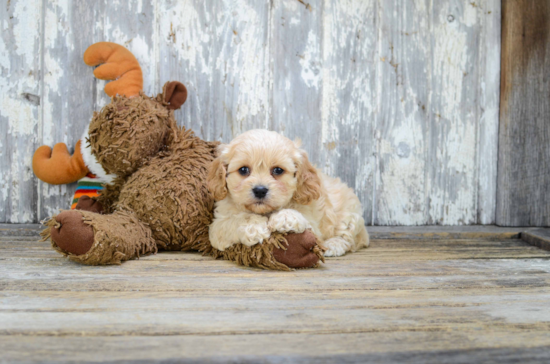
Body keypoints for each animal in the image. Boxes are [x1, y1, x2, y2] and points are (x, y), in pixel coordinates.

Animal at [207, 129, 370, 258]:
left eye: (278, 170)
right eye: (243, 170)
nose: (260, 190)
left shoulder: (313, 224)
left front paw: (285, 217)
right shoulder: (217, 225)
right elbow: (235, 220)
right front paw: (254, 227)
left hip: (350, 215)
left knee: (351, 238)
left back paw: (333, 245)